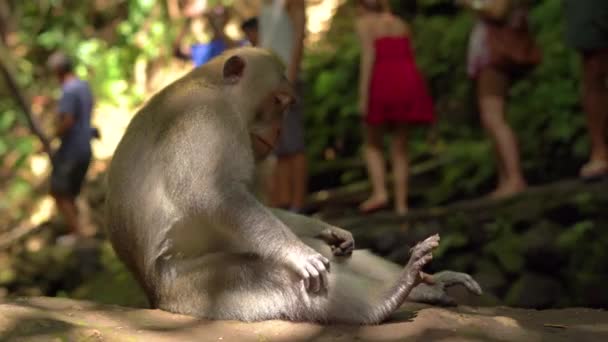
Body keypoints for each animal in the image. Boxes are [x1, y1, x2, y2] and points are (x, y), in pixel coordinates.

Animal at [107, 47, 482, 324]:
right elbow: (212, 193)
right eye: (277, 102)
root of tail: (152, 293)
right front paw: (296, 253)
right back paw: (388, 296)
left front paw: (329, 229)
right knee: (275, 278)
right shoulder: (204, 117)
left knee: (335, 256)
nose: (277, 131)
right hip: (191, 288)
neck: (212, 86)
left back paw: (425, 285)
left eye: (286, 106)